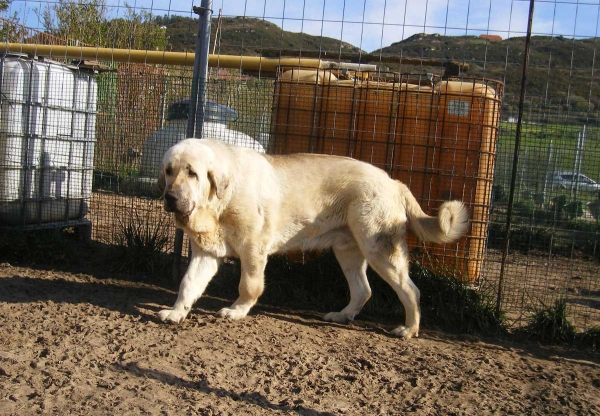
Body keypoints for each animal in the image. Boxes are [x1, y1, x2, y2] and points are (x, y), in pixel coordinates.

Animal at [156, 138, 468, 340]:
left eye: (193, 174)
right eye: (168, 171)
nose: (170, 197)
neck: (220, 200)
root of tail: (394, 182)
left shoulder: (253, 250)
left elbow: (249, 286)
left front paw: (237, 311)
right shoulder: (205, 254)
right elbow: (188, 284)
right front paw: (176, 313)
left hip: (380, 251)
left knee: (410, 291)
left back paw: (409, 329)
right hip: (348, 251)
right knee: (363, 290)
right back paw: (342, 315)